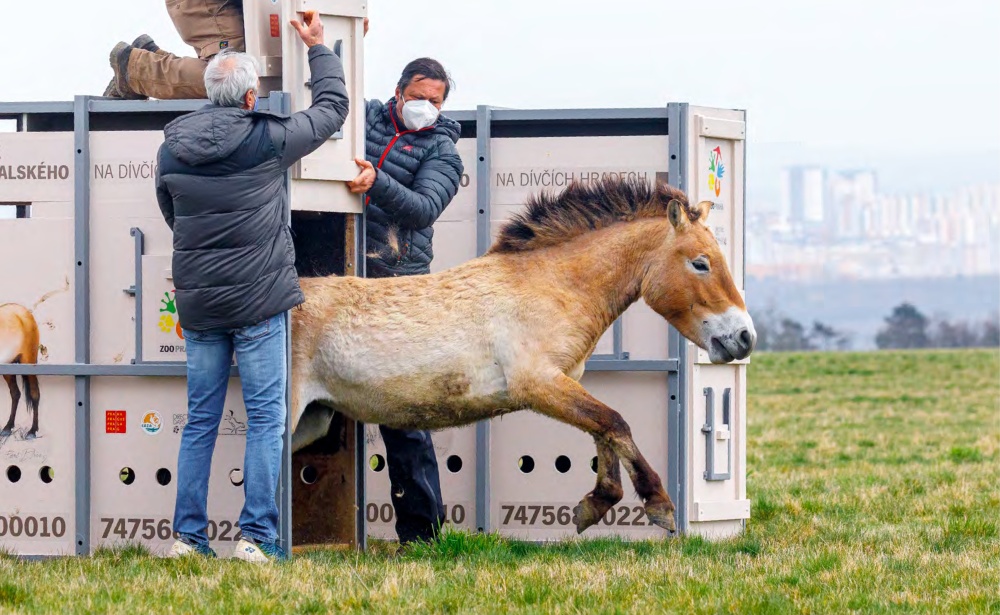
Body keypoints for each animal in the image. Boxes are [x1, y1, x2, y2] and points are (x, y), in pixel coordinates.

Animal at [292, 177, 752, 536]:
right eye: (700, 264)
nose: (745, 337)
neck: (553, 286)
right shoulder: (539, 385)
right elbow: (614, 422)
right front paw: (658, 505)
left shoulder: (563, 383)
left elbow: (604, 430)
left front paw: (596, 504)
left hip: (314, 419)